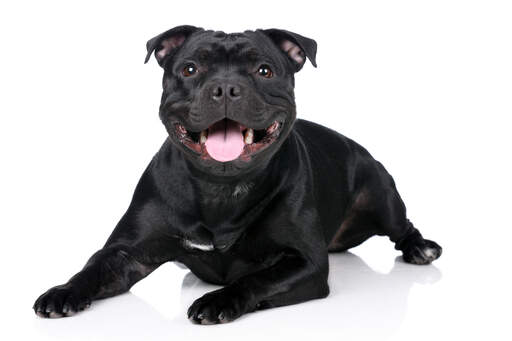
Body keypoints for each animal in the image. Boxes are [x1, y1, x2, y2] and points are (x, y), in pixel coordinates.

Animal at [33, 25, 440, 322]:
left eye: (264, 70)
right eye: (190, 69)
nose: (226, 87)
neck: (220, 186)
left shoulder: (305, 262)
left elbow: (257, 279)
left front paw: (218, 300)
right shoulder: (128, 252)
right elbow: (92, 268)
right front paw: (63, 291)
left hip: (382, 193)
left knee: (401, 226)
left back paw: (420, 247)